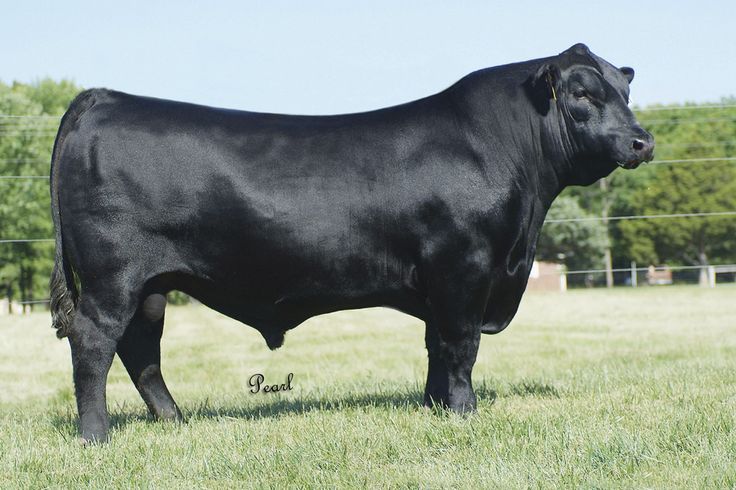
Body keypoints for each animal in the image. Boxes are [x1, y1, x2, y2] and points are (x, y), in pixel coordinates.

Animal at [49, 42, 652, 442]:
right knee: (94, 342)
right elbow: (460, 346)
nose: (641, 141)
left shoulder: (440, 282)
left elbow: (435, 346)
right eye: (581, 92)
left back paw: (176, 422)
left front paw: (433, 407)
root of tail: (105, 99)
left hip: (151, 285)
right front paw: (463, 412)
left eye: (625, 91)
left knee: (140, 350)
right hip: (113, 277)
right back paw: (96, 436)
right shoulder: (464, 268)